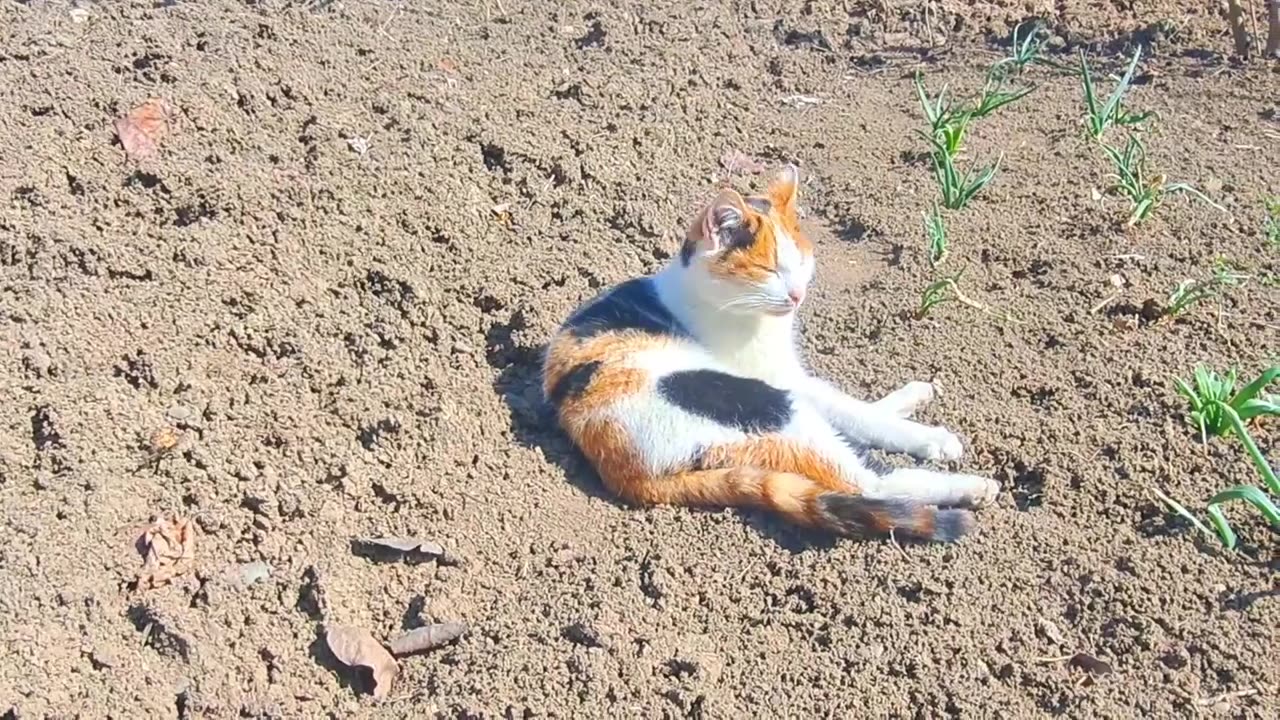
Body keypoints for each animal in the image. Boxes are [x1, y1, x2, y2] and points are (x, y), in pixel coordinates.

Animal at [540, 165, 998, 540]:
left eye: (801, 263)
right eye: (768, 270)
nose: (796, 295)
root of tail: (624, 472)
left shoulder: (795, 374)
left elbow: (856, 406)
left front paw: (910, 399)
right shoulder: (781, 379)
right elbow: (856, 412)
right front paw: (935, 438)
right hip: (761, 404)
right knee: (866, 482)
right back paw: (975, 488)